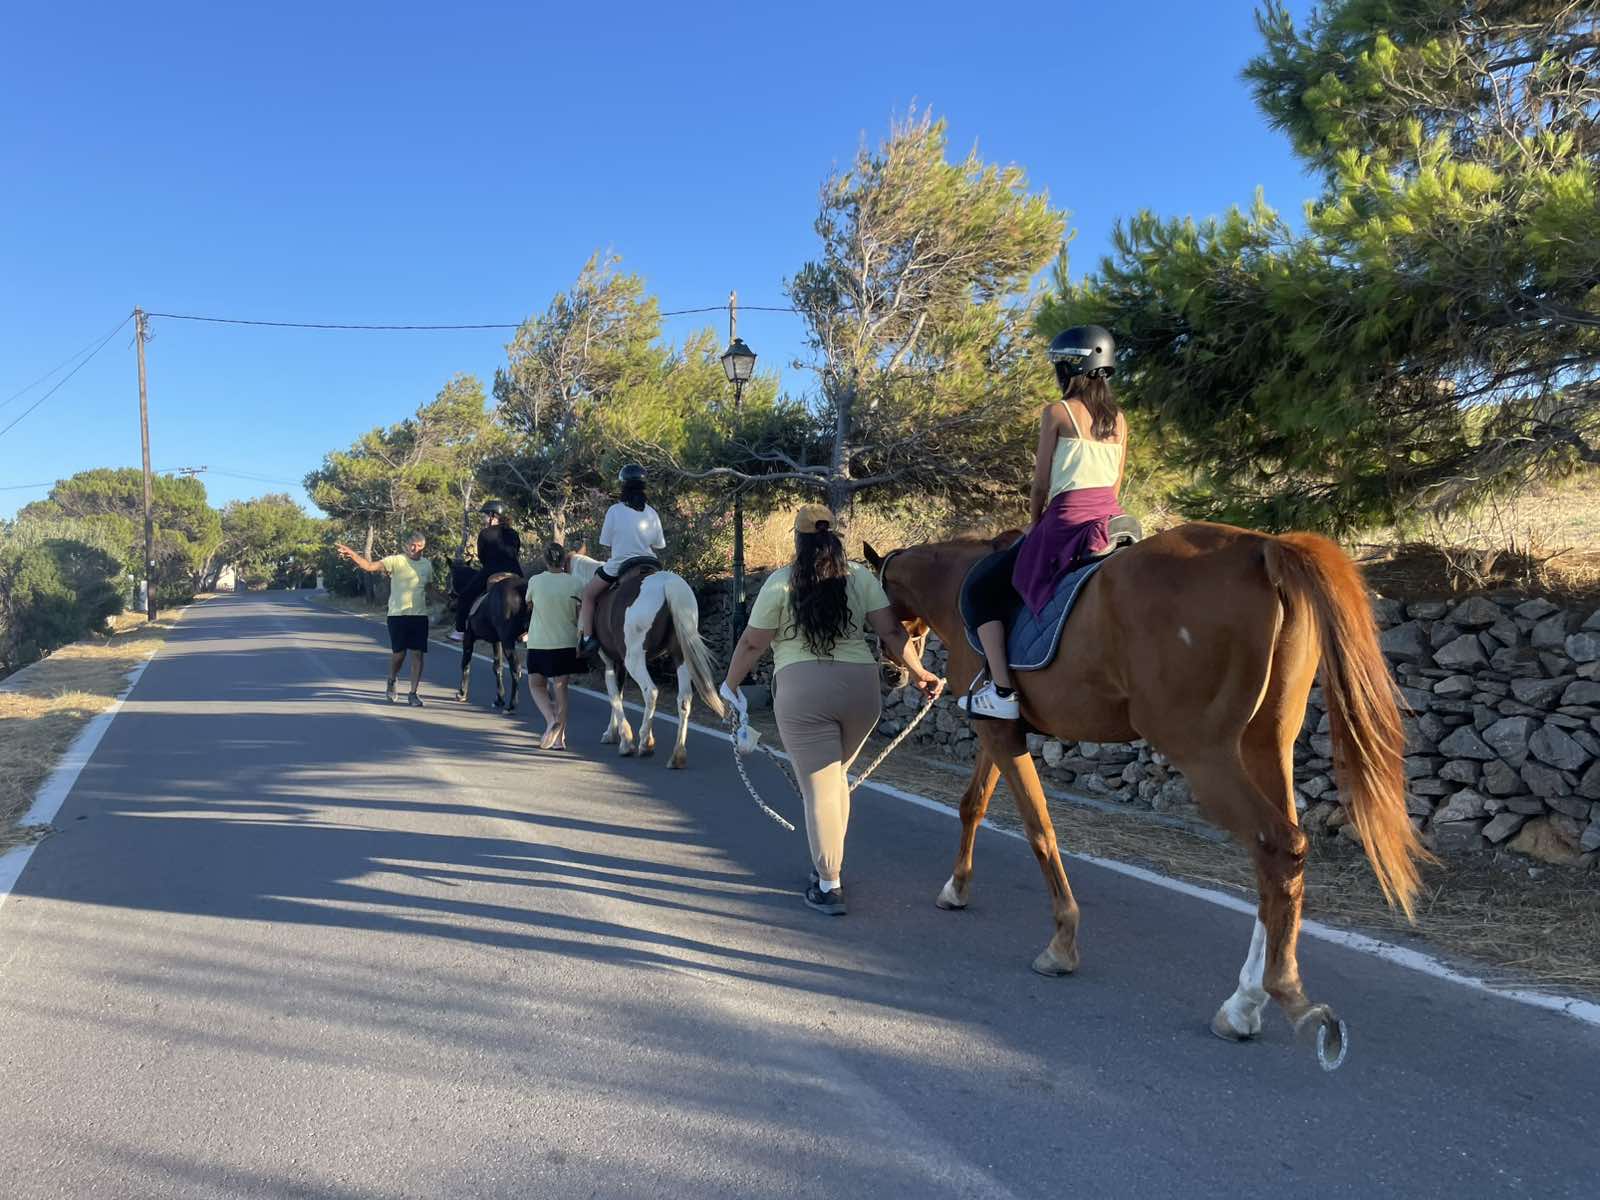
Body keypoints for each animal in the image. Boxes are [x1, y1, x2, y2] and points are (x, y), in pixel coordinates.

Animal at [448, 561, 530, 714]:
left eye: (450, 577)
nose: (450, 600)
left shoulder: (468, 637)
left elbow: (465, 663)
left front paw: (462, 693)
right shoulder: (496, 641)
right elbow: (497, 667)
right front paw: (499, 699)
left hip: (508, 641)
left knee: (516, 668)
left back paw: (512, 705)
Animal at [567, 554, 725, 767]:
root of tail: (667, 583)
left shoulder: (610, 663)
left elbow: (614, 696)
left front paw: (625, 740)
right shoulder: (620, 664)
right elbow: (619, 695)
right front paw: (613, 733)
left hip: (635, 660)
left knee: (651, 691)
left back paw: (645, 742)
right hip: (681, 656)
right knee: (684, 698)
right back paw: (677, 754)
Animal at [864, 522, 1427, 1069]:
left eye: (874, 610)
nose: (890, 674)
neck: (959, 582)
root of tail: (1264, 548)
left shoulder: (1000, 734)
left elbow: (1038, 829)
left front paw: (1062, 943)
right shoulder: (997, 730)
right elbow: (973, 805)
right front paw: (956, 889)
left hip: (1205, 754)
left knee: (1279, 847)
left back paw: (1279, 993)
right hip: (1268, 745)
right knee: (1278, 862)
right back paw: (1244, 1003)